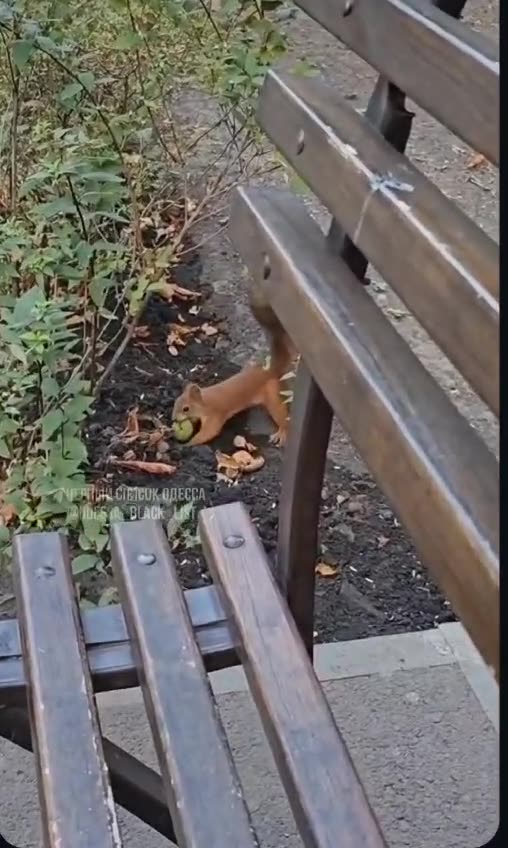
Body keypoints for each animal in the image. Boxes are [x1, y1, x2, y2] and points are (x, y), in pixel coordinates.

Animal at [171, 283, 295, 447]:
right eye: (175, 402)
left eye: (186, 409)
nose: (173, 419)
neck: (205, 402)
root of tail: (271, 370)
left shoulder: (214, 416)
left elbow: (209, 433)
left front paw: (188, 444)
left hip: (272, 395)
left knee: (282, 416)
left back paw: (282, 433)